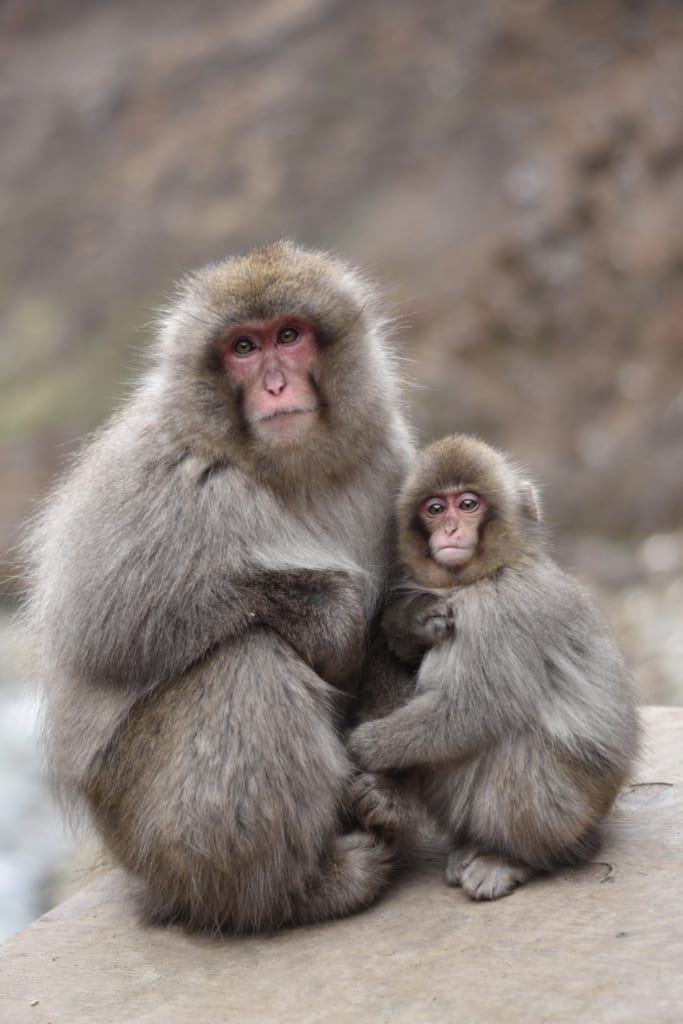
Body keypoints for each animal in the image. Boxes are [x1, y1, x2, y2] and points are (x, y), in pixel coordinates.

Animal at [23, 240, 415, 933]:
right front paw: (333, 616)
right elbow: (103, 622)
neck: (287, 468)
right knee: (244, 658)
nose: (276, 385)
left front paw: (391, 791)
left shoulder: (388, 460)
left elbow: (403, 615)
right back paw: (293, 892)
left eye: (288, 336)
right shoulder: (163, 468)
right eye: (243, 348)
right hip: (142, 826)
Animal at [347, 435, 640, 900]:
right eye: (434, 508)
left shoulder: (500, 614)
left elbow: (472, 711)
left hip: (572, 810)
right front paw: (410, 621)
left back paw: (511, 857)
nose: (450, 529)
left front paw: (364, 746)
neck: (483, 575)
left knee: (511, 745)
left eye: (468, 504)